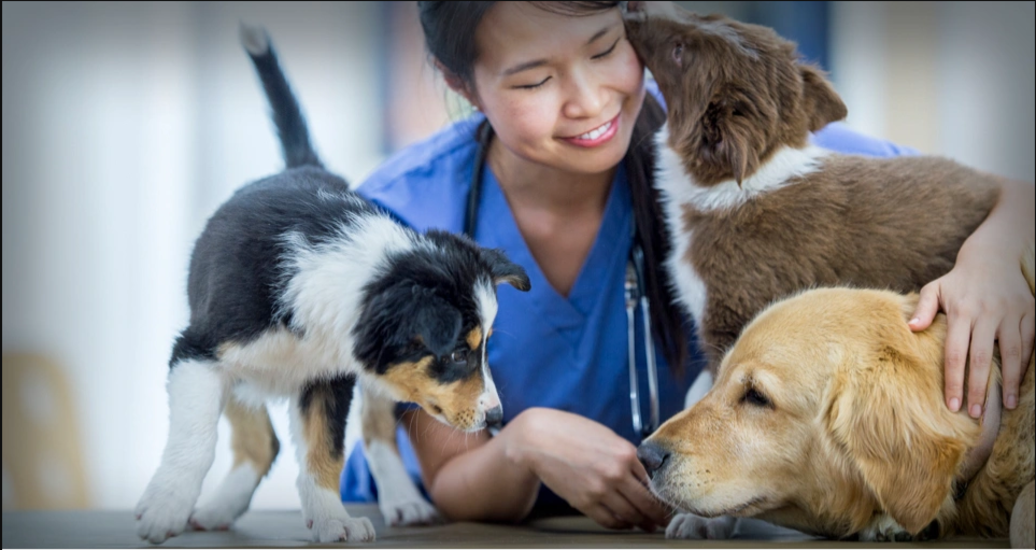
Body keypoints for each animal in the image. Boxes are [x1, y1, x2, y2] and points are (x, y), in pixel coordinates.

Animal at [134, 26, 530, 546]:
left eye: (481, 349)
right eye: (459, 353)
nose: (497, 418)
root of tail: (300, 166)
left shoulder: (327, 379)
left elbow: (325, 451)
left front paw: (332, 520)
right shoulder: (198, 350)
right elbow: (195, 440)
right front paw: (164, 508)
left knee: (373, 431)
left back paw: (404, 501)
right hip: (237, 370)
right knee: (263, 442)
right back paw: (217, 507)